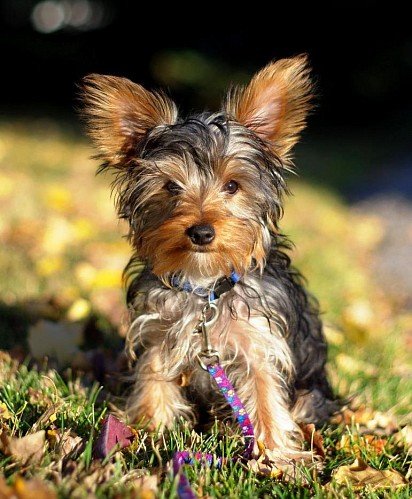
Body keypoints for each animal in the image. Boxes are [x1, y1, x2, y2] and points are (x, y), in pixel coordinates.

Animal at [81, 55, 338, 458]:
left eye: (232, 185)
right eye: (171, 187)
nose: (201, 232)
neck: (205, 285)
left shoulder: (259, 340)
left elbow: (264, 392)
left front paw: (274, 455)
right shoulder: (159, 331)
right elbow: (155, 375)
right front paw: (150, 429)